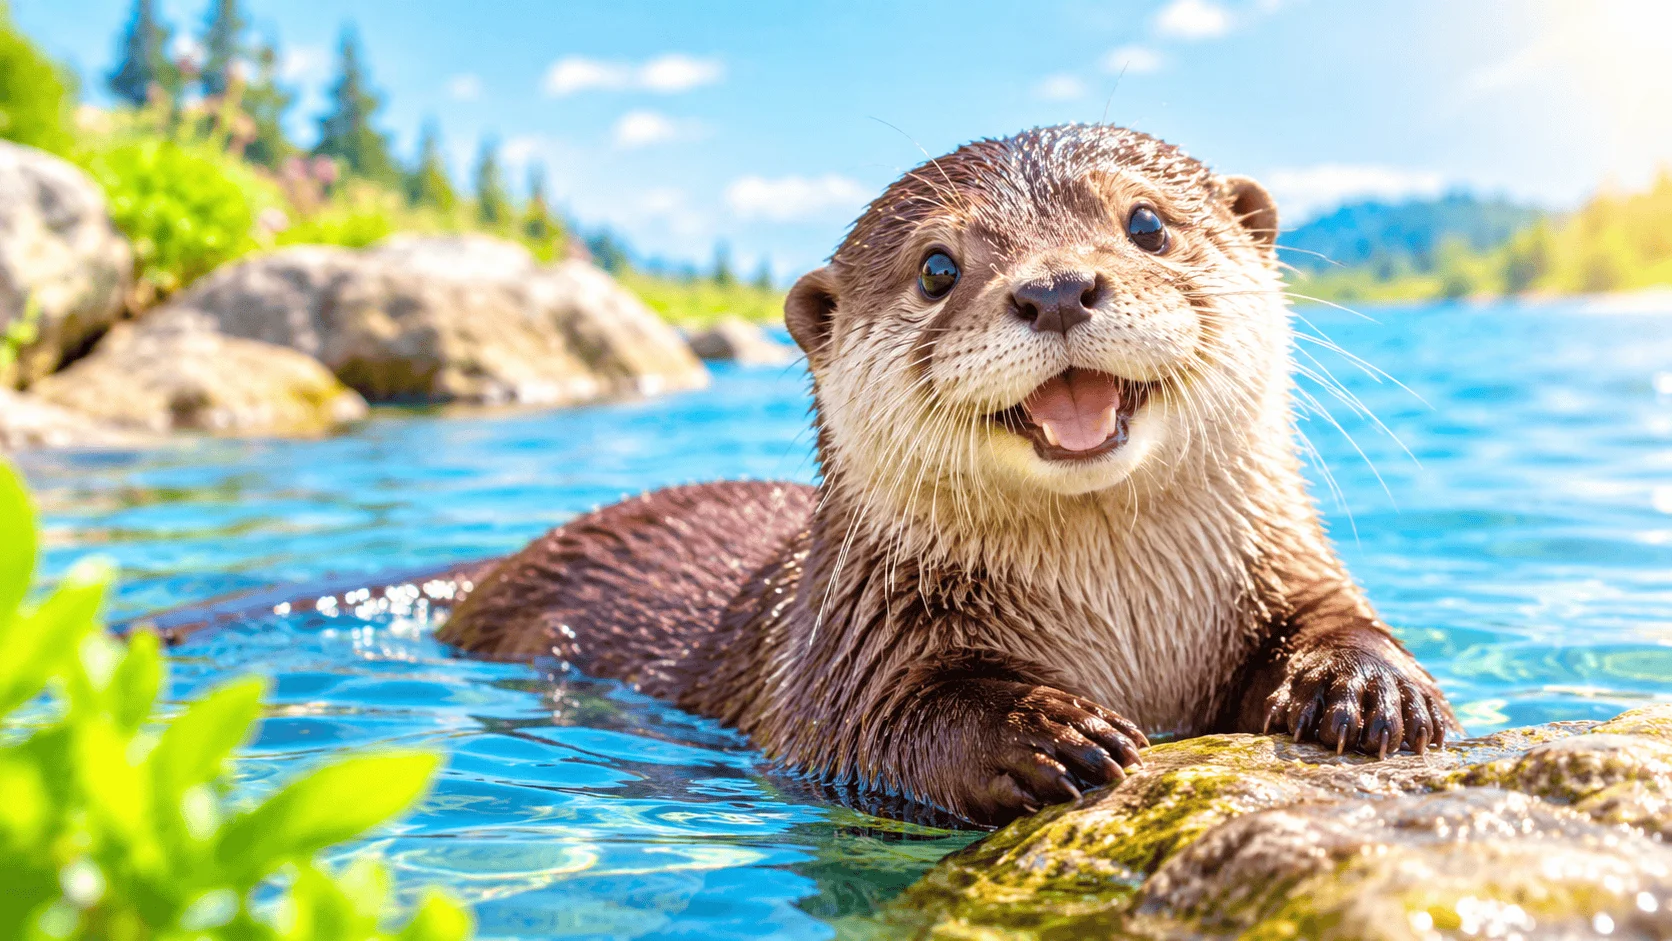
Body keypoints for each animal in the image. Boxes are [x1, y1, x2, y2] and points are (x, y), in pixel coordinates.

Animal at [272, 125, 1463, 827]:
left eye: (1146, 223)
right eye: (937, 268)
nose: (1057, 288)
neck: (1124, 623)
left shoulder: (1286, 565)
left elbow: (1337, 614)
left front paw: (1367, 685)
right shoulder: (844, 659)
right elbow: (885, 726)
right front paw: (1046, 733)